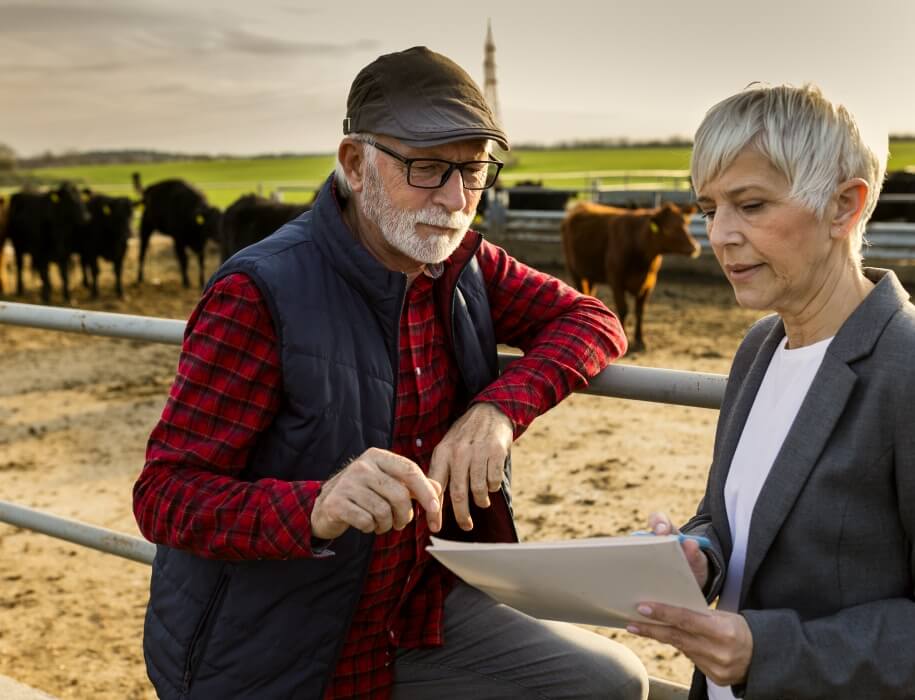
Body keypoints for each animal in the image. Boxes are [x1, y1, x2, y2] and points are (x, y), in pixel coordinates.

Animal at [560, 202, 700, 352]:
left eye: (686, 224)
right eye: (669, 228)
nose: (694, 247)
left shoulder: (649, 283)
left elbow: (640, 311)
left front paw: (640, 340)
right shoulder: (616, 281)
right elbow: (623, 309)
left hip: (590, 274)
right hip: (574, 270)